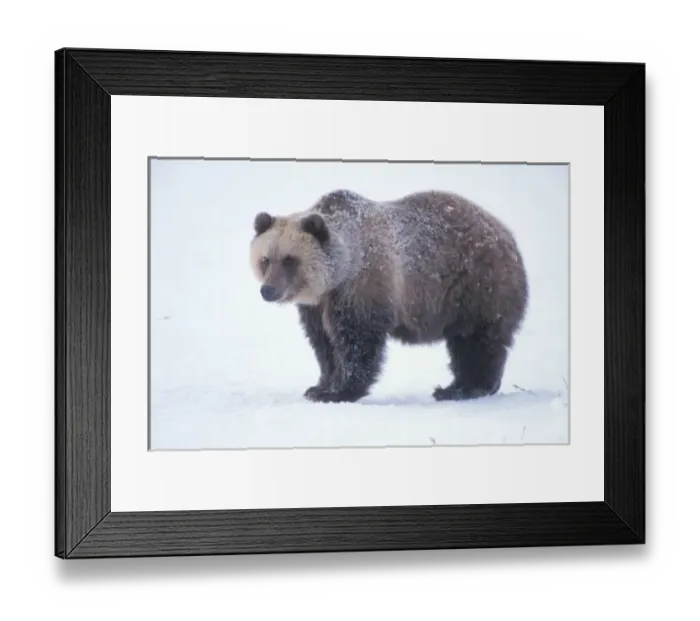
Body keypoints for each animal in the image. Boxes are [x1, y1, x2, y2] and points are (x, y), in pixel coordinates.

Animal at [249, 189, 529, 404]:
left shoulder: (363, 287)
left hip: (476, 286)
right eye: (265, 259)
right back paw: (454, 387)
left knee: (477, 342)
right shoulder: (317, 306)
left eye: (289, 260)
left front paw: (338, 391)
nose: (268, 290)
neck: (339, 272)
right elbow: (323, 343)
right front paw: (319, 386)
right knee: (464, 343)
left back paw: (465, 388)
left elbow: (357, 341)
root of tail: (508, 236)